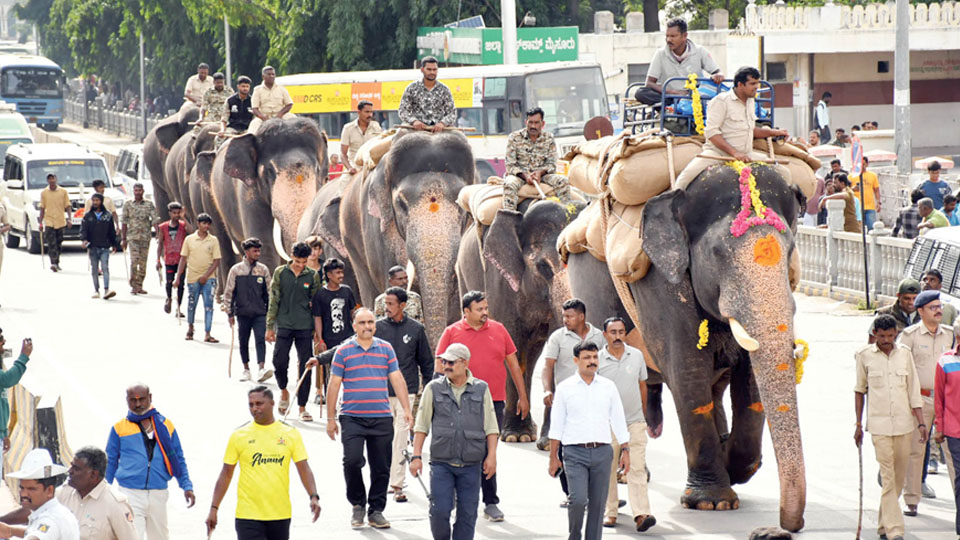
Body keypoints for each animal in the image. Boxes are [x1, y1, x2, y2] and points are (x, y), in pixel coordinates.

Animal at [454, 200, 580, 440]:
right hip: (463, 276)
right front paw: (515, 436)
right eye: (543, 267)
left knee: (532, 354)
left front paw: (547, 440)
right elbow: (512, 342)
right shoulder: (500, 281)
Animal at [568, 163, 808, 532]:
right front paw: (712, 502)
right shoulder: (660, 281)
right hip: (588, 278)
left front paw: (732, 465)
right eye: (718, 253)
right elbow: (687, 371)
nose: (789, 525)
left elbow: (749, 381)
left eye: (791, 248)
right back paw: (628, 475)